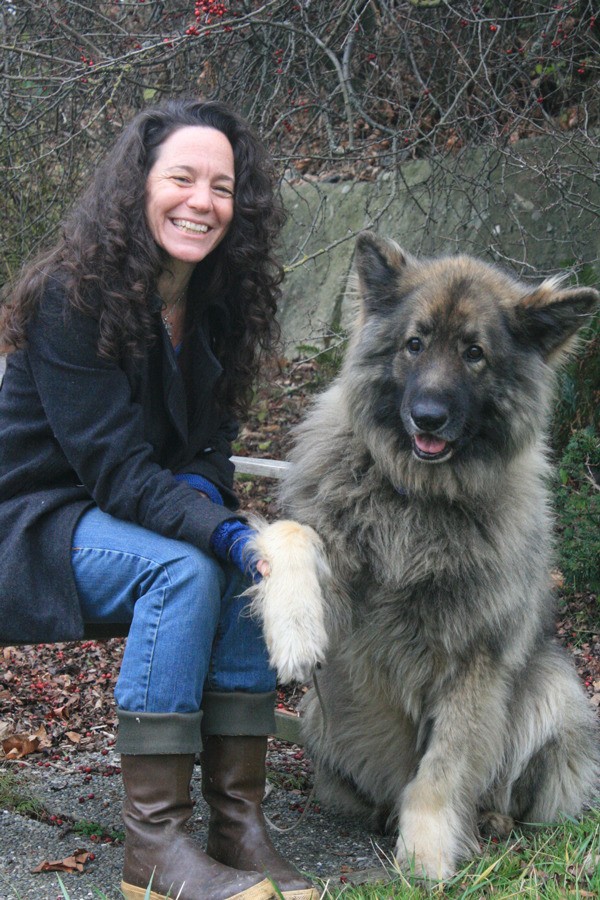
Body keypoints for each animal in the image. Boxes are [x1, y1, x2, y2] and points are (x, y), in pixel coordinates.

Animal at [250, 232, 600, 880]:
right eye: (414, 344)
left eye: (474, 354)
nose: (428, 417)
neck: (415, 495)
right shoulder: (340, 585)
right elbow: (291, 534)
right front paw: (294, 633)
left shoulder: (473, 660)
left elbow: (443, 767)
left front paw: (427, 857)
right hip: (320, 721)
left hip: (557, 694)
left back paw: (488, 823)